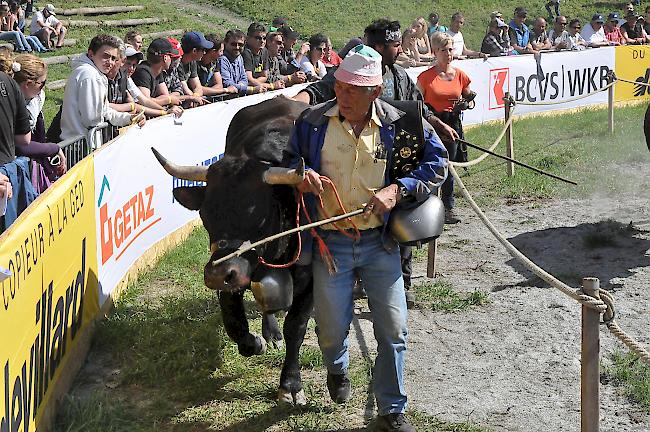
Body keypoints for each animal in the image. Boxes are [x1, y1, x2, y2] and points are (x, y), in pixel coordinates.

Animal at [153, 95, 312, 404]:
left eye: (259, 213)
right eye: (205, 215)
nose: (218, 275)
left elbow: (296, 327)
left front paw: (291, 384)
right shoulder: (228, 269)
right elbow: (234, 324)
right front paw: (256, 342)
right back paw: (270, 334)